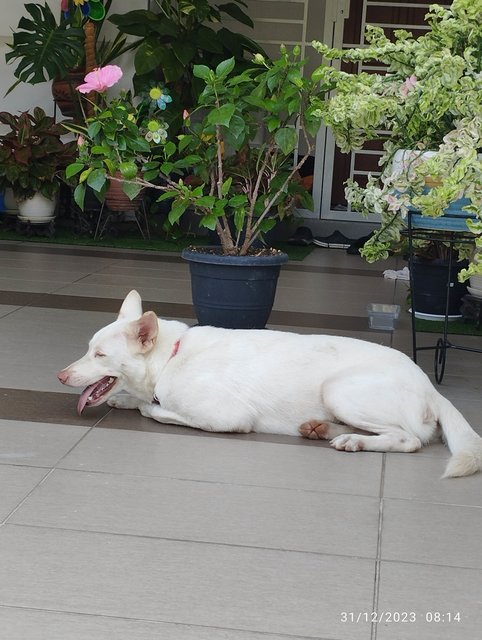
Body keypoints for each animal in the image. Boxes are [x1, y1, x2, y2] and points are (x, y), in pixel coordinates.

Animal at [59, 288, 482, 476]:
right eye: (89, 349)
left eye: (100, 356)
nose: (61, 375)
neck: (170, 357)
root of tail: (430, 388)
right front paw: (125, 399)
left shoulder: (229, 418)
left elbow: (157, 411)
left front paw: (147, 404)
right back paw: (324, 429)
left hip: (339, 390)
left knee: (408, 439)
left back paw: (354, 441)